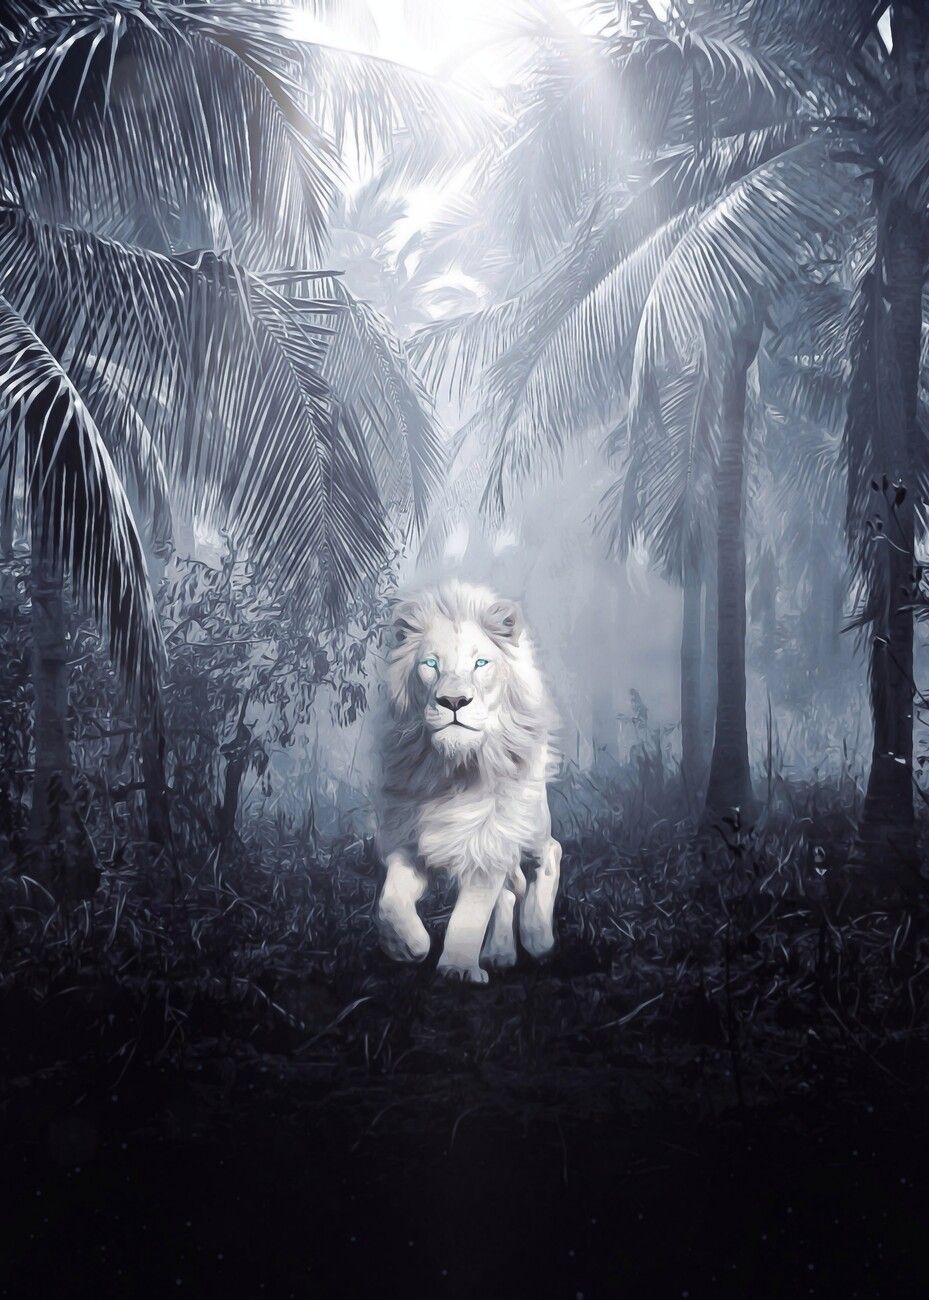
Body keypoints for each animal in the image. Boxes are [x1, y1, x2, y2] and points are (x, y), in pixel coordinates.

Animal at [374, 580, 562, 984]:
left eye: (480, 664)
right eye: (431, 664)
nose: (454, 700)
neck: (453, 770)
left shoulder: (488, 844)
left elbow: (469, 915)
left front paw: (458, 968)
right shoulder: (409, 843)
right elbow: (389, 901)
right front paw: (408, 946)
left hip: (531, 825)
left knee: (548, 854)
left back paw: (539, 936)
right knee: (509, 892)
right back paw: (499, 954)